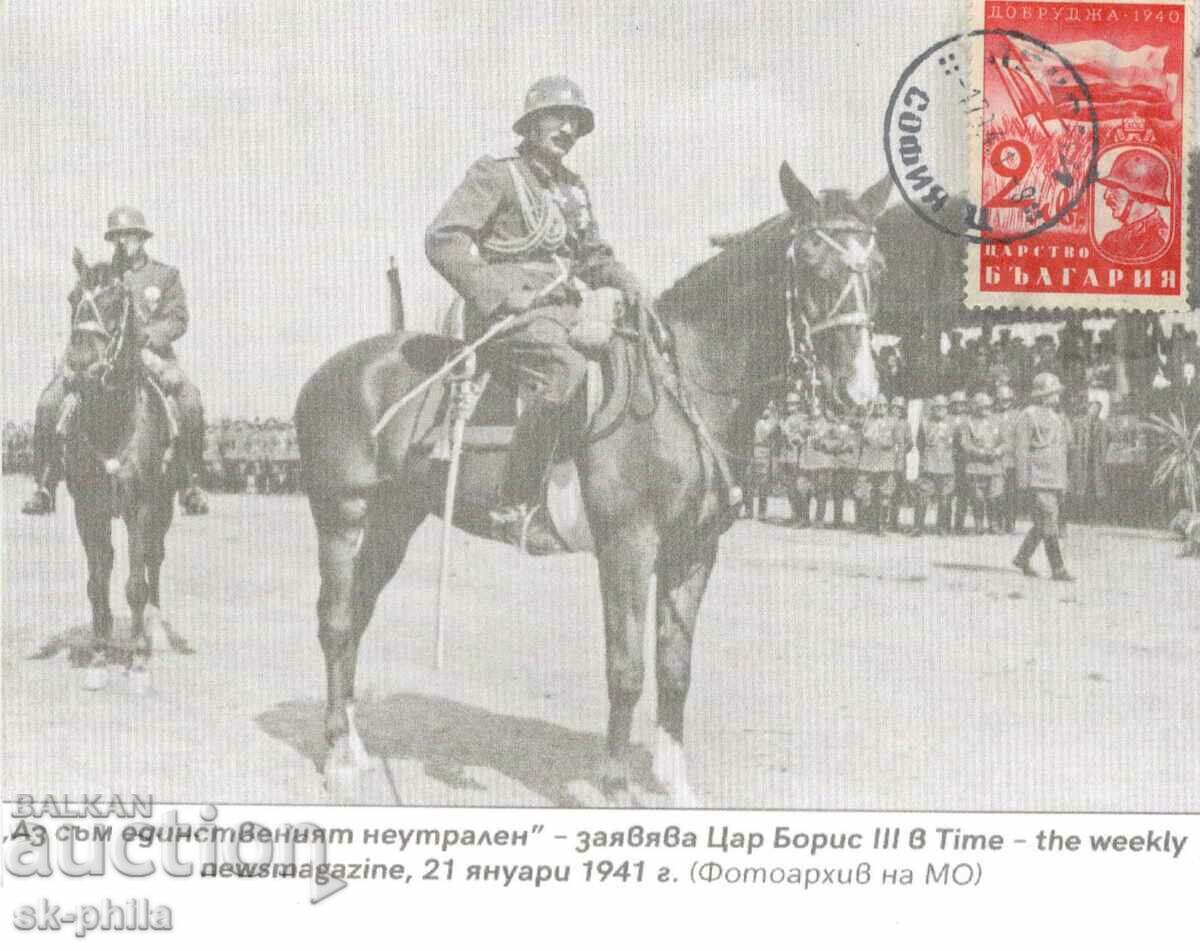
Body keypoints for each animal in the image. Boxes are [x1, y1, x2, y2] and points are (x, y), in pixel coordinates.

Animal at [63, 248, 178, 686]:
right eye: (71, 298)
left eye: (115, 300)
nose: (78, 366)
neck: (111, 416)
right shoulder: (88, 510)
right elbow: (97, 582)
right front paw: (98, 655)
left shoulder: (140, 509)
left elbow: (136, 584)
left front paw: (138, 661)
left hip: (163, 509)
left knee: (154, 562)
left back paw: (153, 633)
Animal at [294, 163, 888, 802]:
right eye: (813, 264)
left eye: (877, 267)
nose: (859, 392)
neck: (685, 385)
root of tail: (330, 372)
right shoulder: (628, 546)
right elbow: (626, 669)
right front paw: (615, 786)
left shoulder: (694, 550)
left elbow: (675, 668)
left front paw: (675, 784)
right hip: (342, 516)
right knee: (335, 621)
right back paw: (337, 756)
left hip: (393, 522)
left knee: (357, 616)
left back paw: (354, 746)